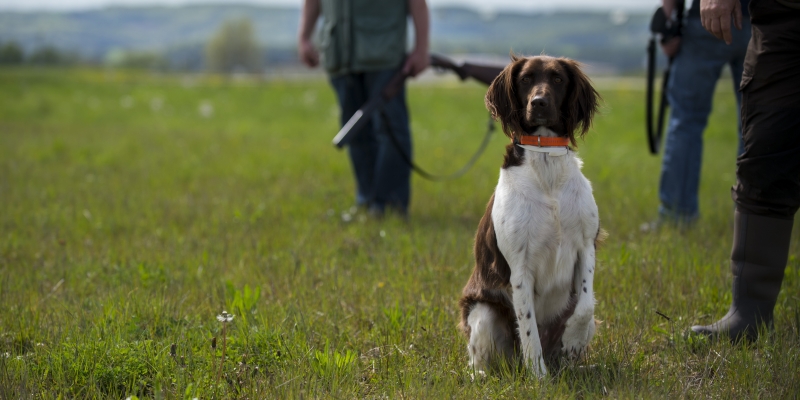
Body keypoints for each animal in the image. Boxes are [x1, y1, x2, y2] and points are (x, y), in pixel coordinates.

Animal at [460, 54, 604, 378]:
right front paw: (539, 379)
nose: (539, 102)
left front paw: (573, 338)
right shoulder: (519, 268)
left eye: (558, 79)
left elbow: (586, 306)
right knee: (482, 359)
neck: (546, 165)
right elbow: (529, 331)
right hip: (483, 310)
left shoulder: (586, 245)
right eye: (525, 79)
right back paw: (483, 375)